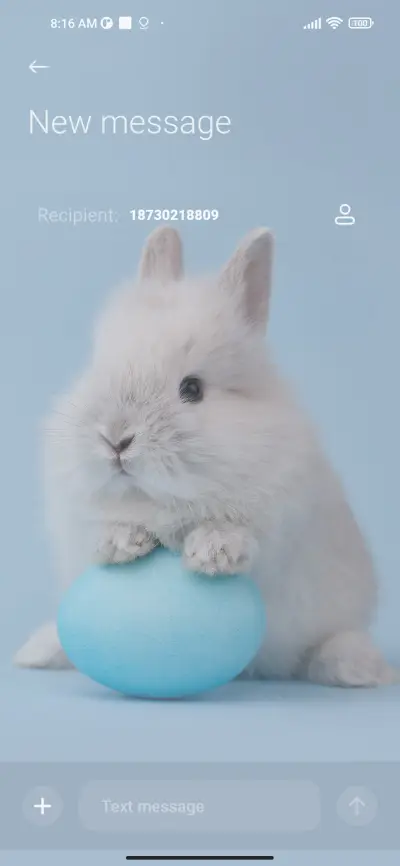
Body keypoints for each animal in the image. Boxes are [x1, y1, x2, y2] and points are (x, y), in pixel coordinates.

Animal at [15, 226, 397, 686]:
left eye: (192, 389)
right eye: (99, 368)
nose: (115, 438)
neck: (160, 501)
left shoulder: (278, 525)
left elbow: (238, 534)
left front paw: (212, 554)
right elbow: (106, 525)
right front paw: (121, 543)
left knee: (326, 645)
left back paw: (358, 668)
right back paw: (34, 652)